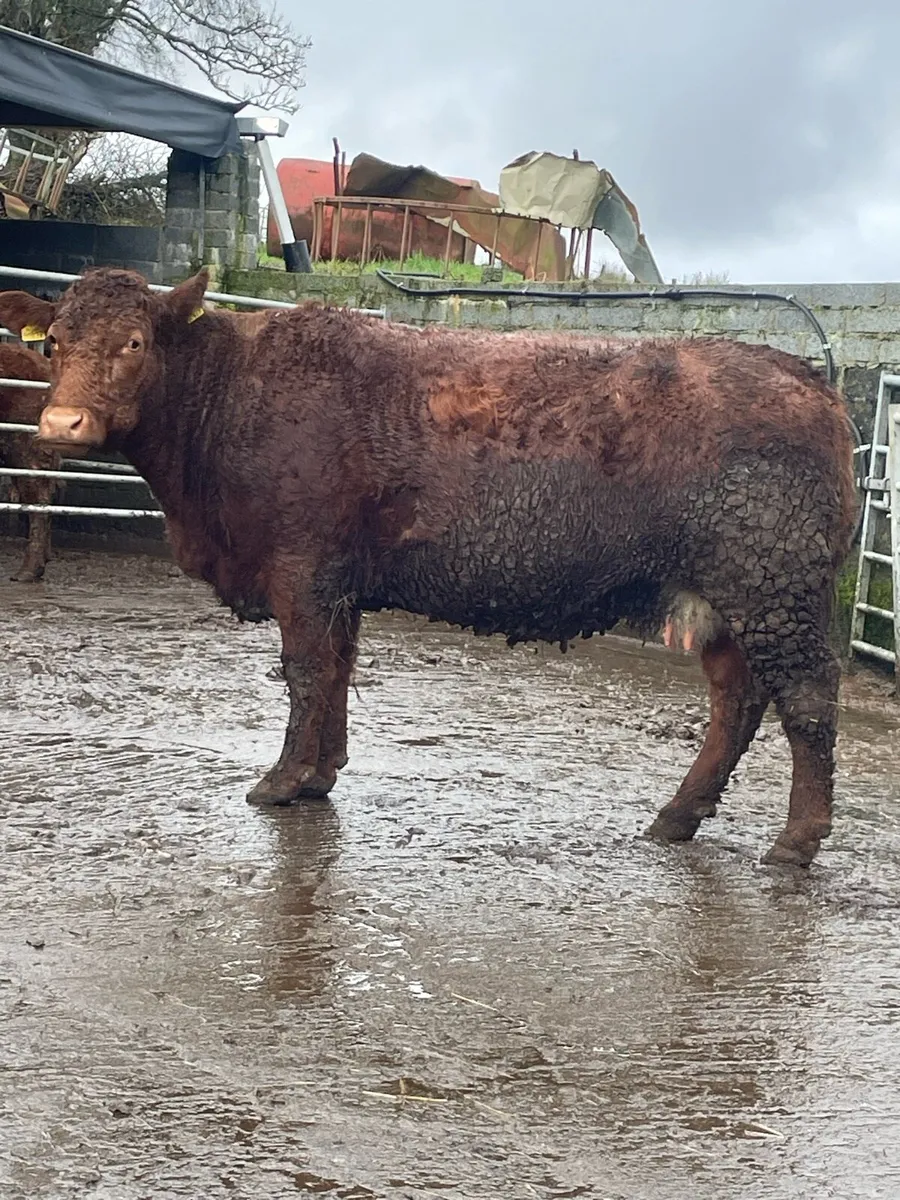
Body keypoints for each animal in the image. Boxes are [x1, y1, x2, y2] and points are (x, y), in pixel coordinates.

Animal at [0, 268, 857, 867]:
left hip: (773, 589)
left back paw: (797, 840)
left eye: (134, 342)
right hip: (728, 601)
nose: (61, 423)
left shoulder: (302, 569)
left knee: (808, 701)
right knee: (737, 701)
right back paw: (676, 818)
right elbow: (337, 670)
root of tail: (803, 375)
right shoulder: (339, 583)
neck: (235, 394)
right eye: (53, 343)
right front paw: (321, 774)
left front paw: (281, 780)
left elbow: (304, 672)